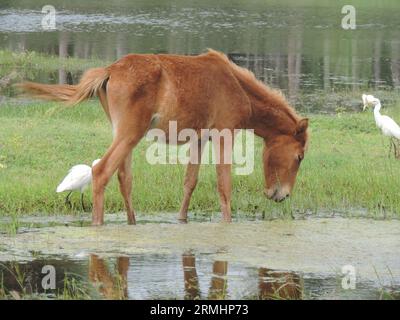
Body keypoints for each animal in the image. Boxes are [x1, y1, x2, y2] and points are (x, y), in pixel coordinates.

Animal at [18, 49, 310, 225]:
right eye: (299, 156)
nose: (281, 195)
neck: (238, 87)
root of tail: (110, 70)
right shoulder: (224, 134)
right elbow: (224, 184)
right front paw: (227, 223)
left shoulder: (200, 138)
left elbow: (190, 182)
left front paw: (181, 219)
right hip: (130, 134)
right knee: (101, 172)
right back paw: (98, 224)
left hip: (124, 135)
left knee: (124, 178)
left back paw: (132, 222)